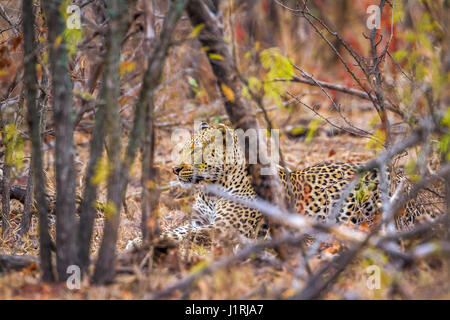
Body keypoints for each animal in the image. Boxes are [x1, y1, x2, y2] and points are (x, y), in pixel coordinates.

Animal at [125, 122, 440, 250]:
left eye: (196, 152)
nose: (174, 169)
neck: (211, 190)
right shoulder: (200, 221)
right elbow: (178, 230)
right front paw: (138, 241)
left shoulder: (226, 229)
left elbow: (185, 236)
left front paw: (140, 245)